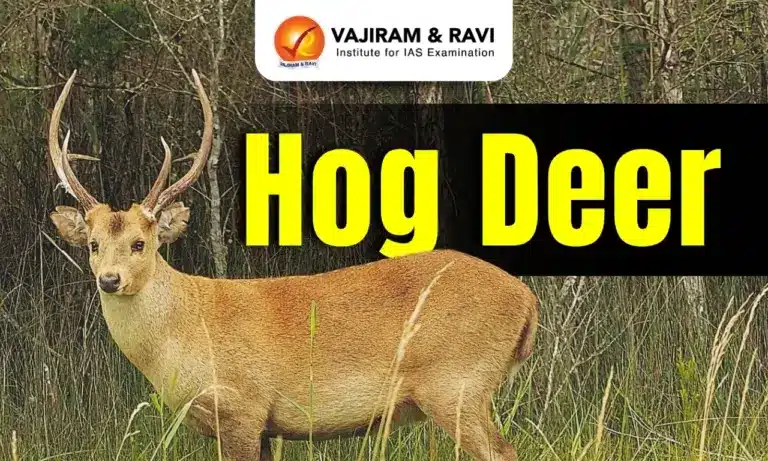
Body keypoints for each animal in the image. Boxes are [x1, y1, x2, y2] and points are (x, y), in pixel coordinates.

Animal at [46, 69, 539, 461]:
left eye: (140, 243)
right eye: (92, 244)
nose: (110, 280)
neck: (185, 330)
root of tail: (527, 301)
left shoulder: (242, 408)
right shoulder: (264, 427)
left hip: (458, 383)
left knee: (505, 451)